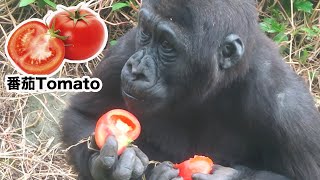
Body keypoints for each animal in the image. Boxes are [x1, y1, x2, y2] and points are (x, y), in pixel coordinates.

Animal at [61, 0, 320, 180]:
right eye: (146, 32)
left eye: (167, 44)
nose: (136, 69)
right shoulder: (127, 48)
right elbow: (80, 115)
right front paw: (114, 164)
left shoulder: (288, 109)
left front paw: (225, 177)